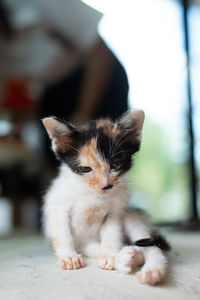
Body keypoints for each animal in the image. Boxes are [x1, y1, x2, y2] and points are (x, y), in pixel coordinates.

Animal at [41, 111, 169, 284]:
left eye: (116, 164)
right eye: (85, 169)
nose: (106, 185)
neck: (91, 194)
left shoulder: (116, 210)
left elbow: (112, 232)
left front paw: (108, 255)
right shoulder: (57, 204)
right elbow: (61, 231)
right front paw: (68, 256)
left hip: (134, 216)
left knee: (151, 247)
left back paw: (151, 271)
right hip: (86, 246)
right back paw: (127, 257)